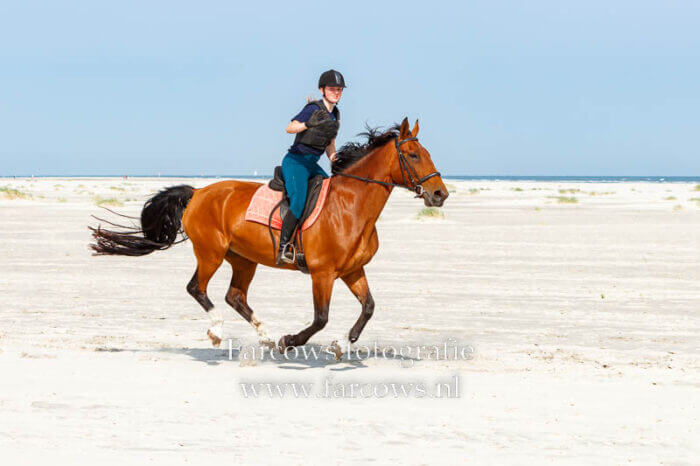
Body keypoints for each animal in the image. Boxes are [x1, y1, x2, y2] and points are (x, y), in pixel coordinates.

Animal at [90, 118, 448, 352]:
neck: (350, 206)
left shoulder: (351, 270)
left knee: (235, 296)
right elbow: (321, 318)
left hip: (243, 259)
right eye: (413, 155)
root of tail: (198, 192)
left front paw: (343, 343)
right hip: (210, 253)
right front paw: (291, 341)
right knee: (197, 288)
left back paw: (264, 335)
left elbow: (369, 307)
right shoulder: (322, 273)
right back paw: (219, 332)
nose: (439, 194)